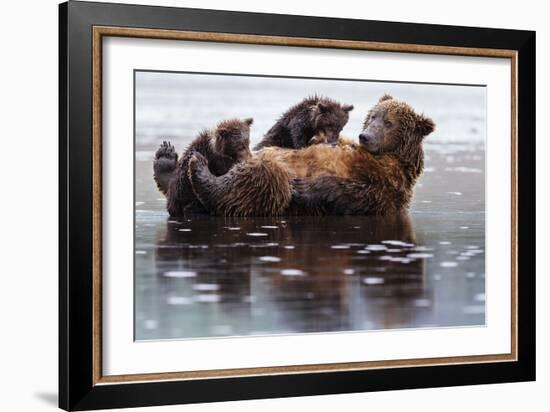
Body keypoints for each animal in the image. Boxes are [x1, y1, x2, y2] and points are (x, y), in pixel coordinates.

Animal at [189, 93, 436, 216]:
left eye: (389, 123)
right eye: (373, 116)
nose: (365, 136)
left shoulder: (390, 182)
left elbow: (358, 193)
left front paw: (305, 187)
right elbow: (277, 139)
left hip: (268, 184)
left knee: (261, 180)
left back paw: (197, 166)